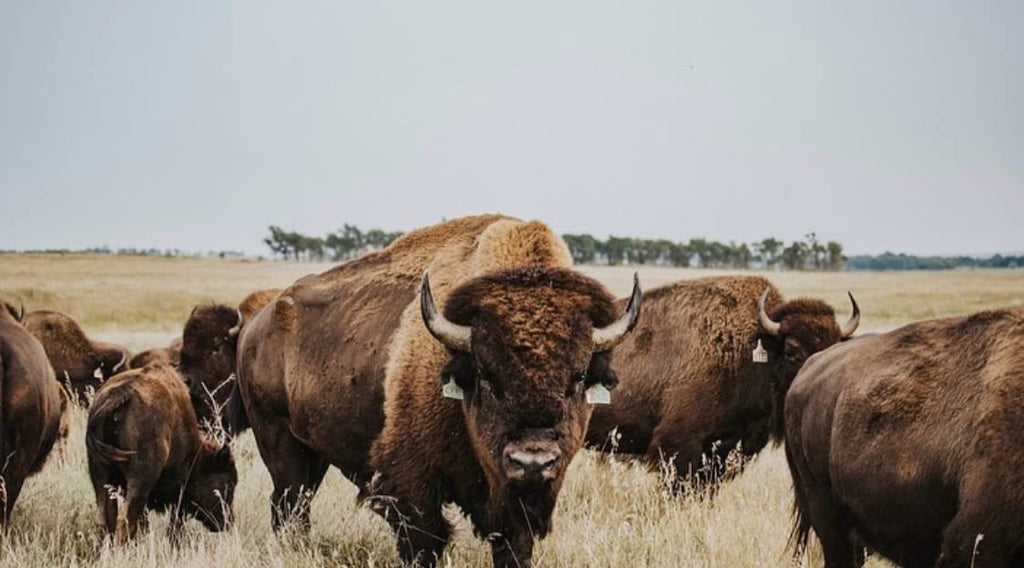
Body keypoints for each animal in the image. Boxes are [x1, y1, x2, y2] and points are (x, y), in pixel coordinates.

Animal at [86, 362, 237, 541]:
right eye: (229, 483)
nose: (227, 522)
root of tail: (122, 392)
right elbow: (175, 524)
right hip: (139, 480)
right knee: (125, 520)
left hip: (101, 476)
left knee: (104, 519)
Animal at [233, 215, 641, 567]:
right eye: (486, 375)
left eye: (578, 377)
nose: (532, 462)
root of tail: (258, 323)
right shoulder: (413, 490)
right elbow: (424, 541)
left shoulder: (518, 509)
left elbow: (514, 545)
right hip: (278, 441)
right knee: (289, 504)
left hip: (314, 451)